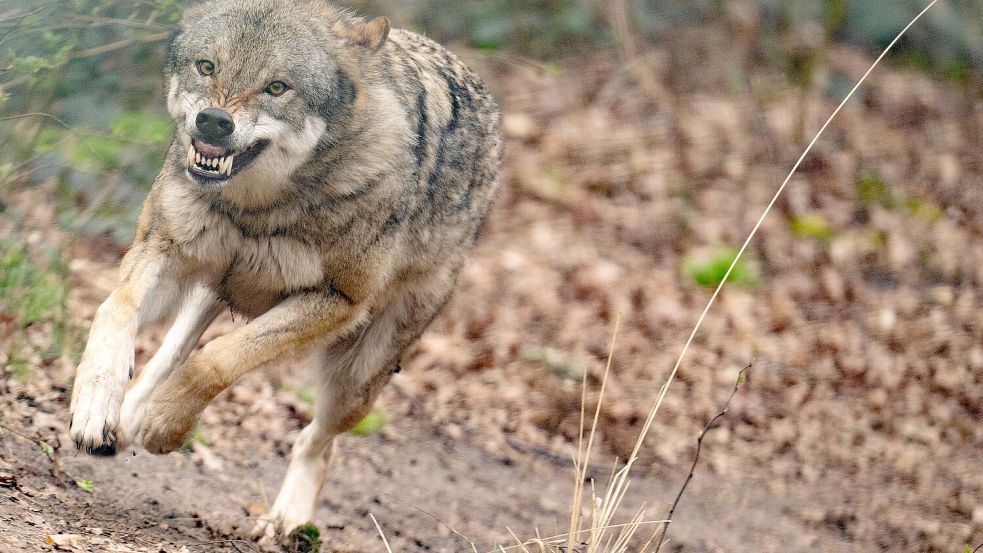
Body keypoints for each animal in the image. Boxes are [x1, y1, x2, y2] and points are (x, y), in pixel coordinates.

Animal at [67, 0, 502, 542]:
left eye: (277, 87)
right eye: (207, 67)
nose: (213, 122)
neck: (256, 209)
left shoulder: (338, 303)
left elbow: (217, 362)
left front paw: (166, 426)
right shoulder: (162, 249)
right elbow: (115, 309)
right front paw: (95, 406)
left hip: (355, 383)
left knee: (317, 441)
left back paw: (286, 519)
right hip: (212, 291)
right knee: (170, 352)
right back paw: (124, 419)